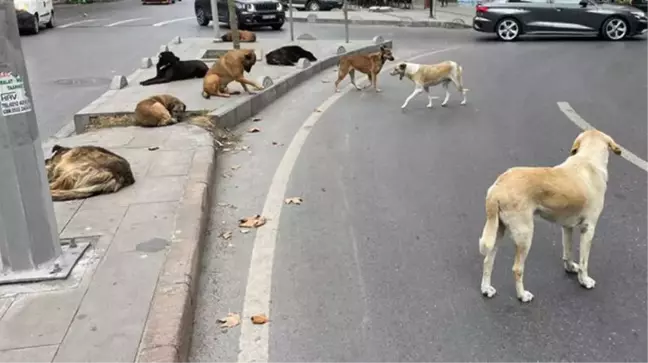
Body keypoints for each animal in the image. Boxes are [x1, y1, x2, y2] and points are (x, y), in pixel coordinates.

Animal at [480, 129, 624, 302]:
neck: (588, 159)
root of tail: (497, 188)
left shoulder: (567, 227)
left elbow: (567, 252)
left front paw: (570, 268)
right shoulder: (588, 228)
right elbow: (584, 262)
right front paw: (584, 281)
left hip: (497, 231)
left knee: (488, 260)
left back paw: (486, 289)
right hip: (525, 236)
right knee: (517, 269)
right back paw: (522, 295)